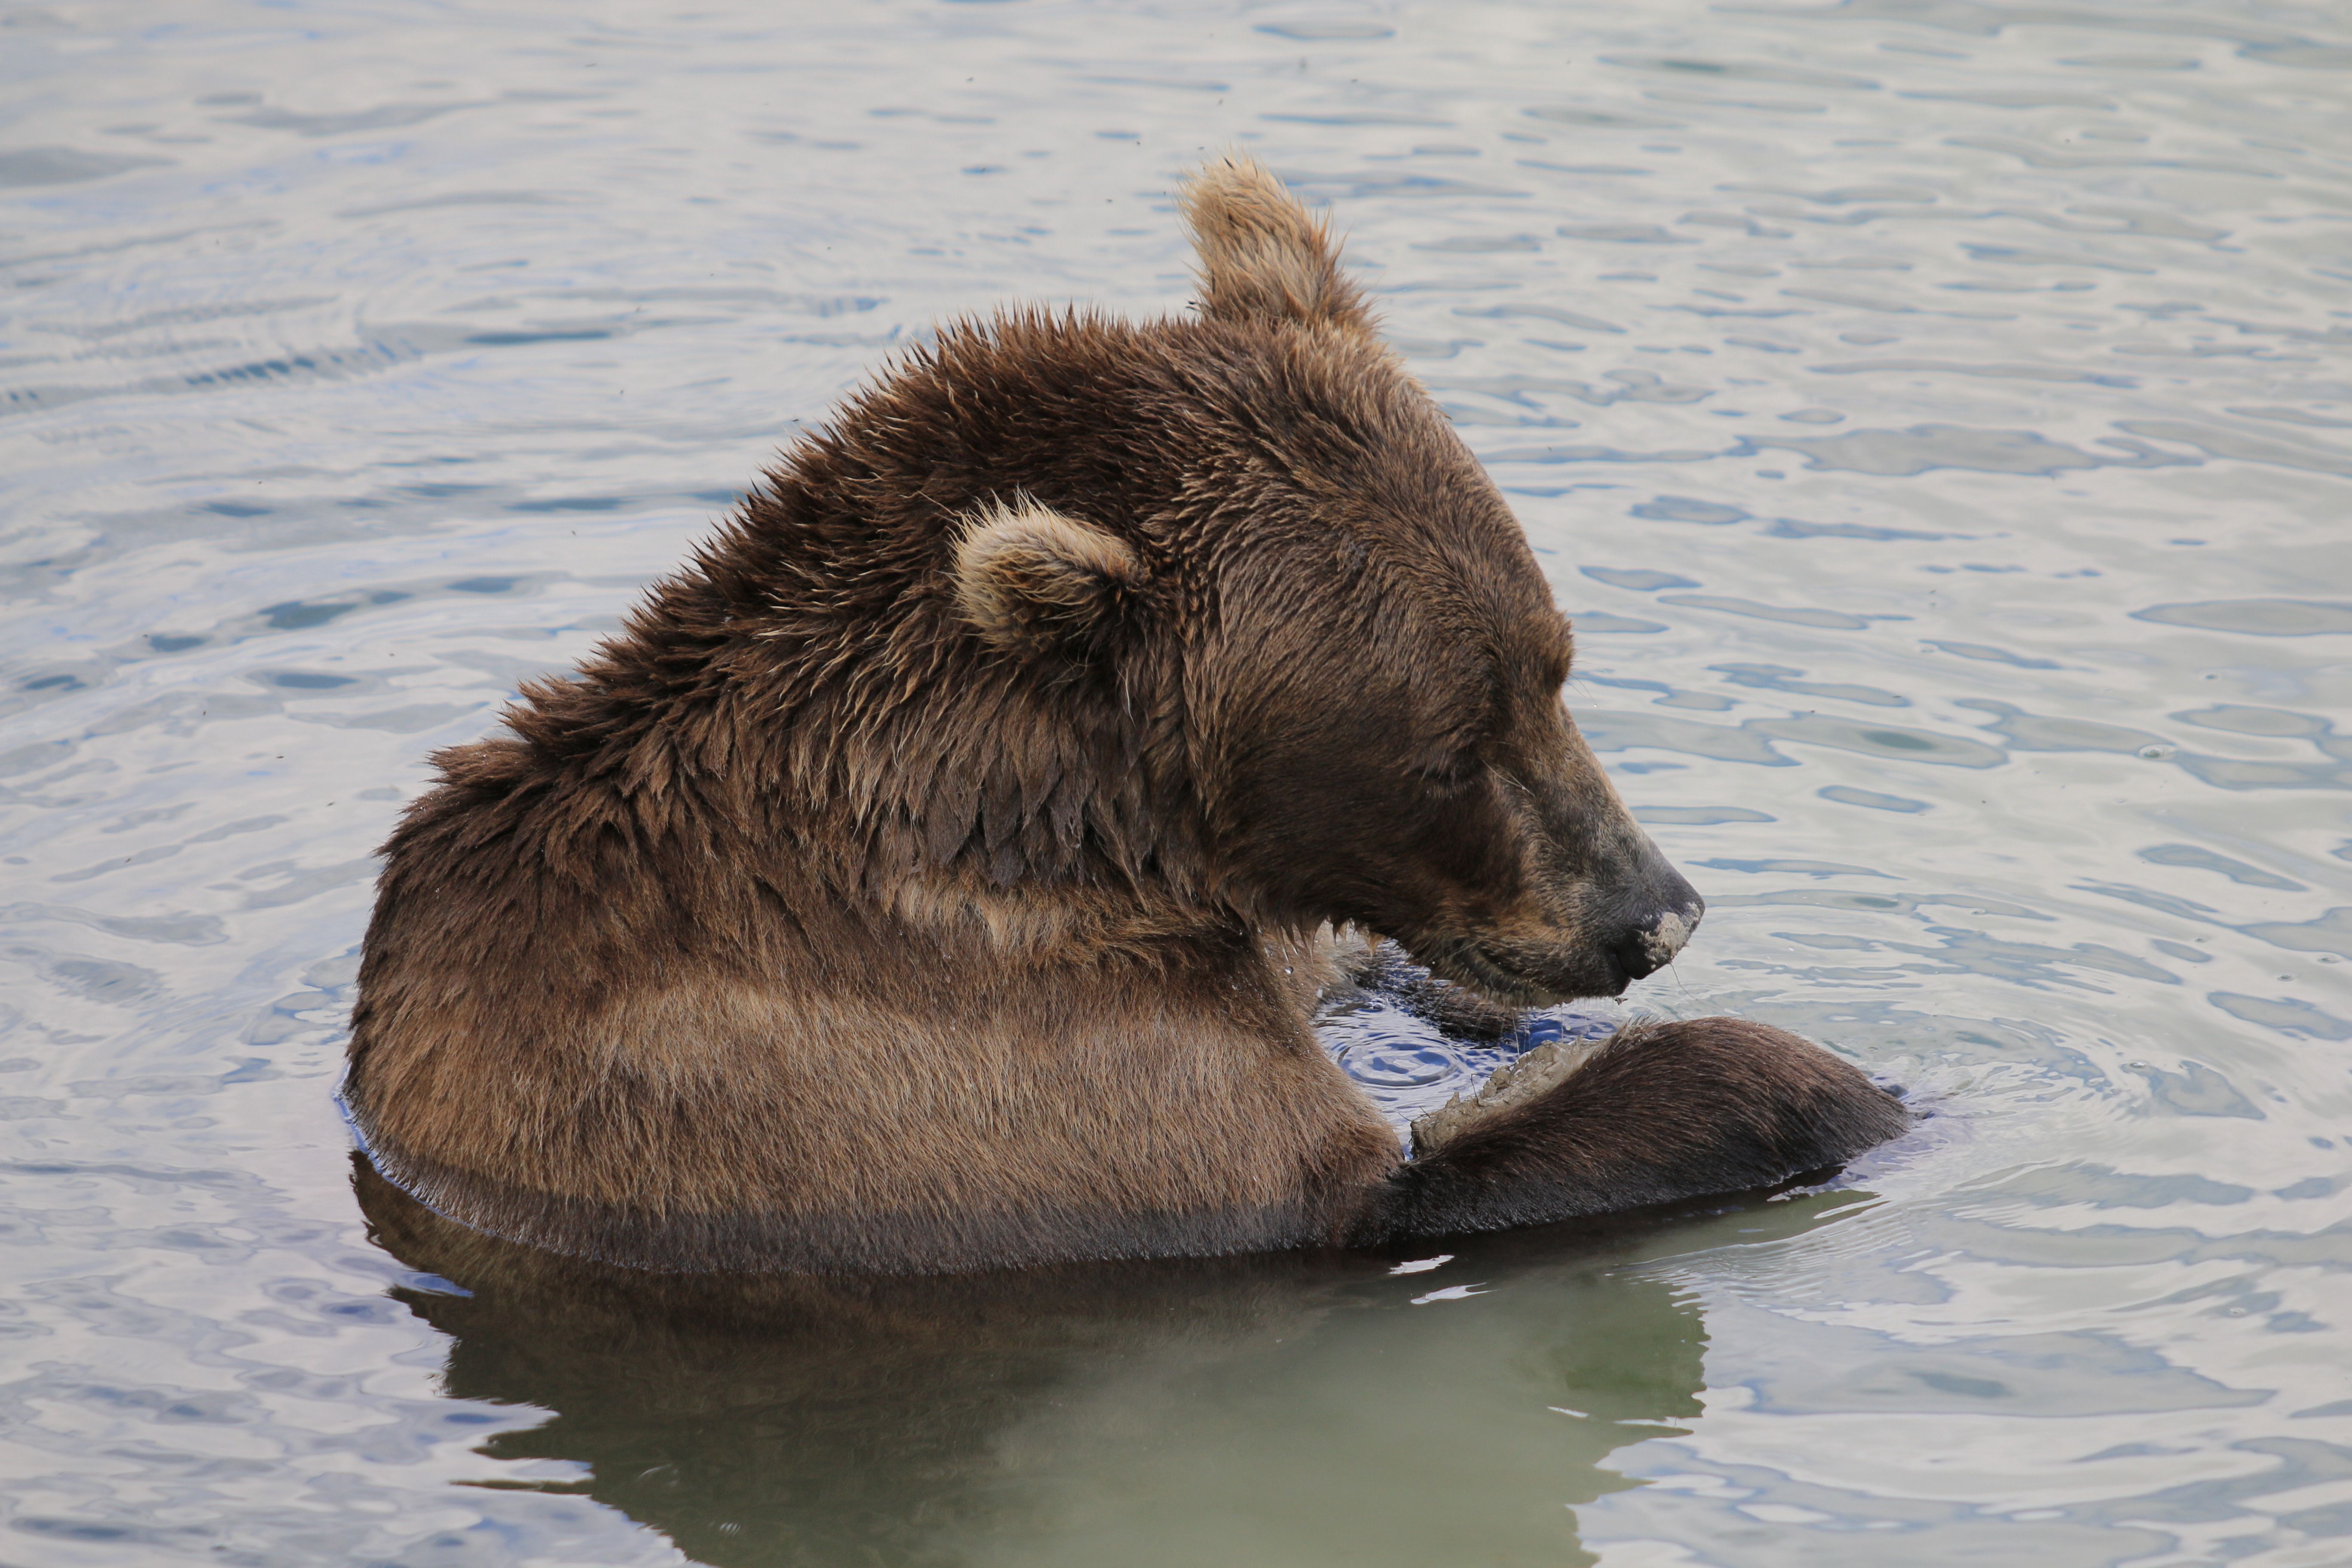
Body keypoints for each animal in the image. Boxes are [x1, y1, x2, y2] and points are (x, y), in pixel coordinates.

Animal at [343, 153, 1891, 1279]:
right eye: (1447, 750)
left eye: (1555, 666)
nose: (1653, 913)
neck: (1088, 831)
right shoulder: (994, 1073)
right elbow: (1373, 1185)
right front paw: (1834, 1080)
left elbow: (1353, 979)